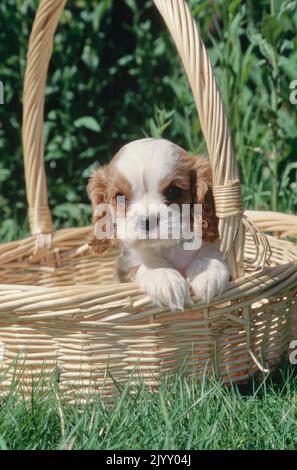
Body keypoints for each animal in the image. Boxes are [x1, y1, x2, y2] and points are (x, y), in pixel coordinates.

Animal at [86, 138, 229, 310]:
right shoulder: (125, 268)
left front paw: (207, 272)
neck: (168, 247)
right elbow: (148, 265)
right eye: (120, 197)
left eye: (173, 191)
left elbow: (211, 254)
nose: (147, 221)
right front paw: (165, 278)